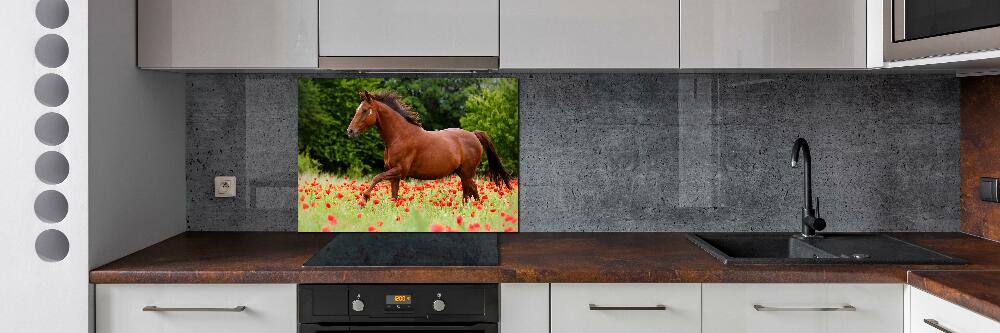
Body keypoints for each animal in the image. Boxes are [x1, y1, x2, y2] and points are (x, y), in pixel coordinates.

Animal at [348, 90, 512, 202]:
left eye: (364, 110)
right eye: (357, 110)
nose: (350, 131)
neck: (399, 136)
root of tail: (474, 135)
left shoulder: (399, 170)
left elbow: (377, 177)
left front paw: (364, 199)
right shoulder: (394, 174)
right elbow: (394, 196)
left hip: (467, 173)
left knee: (473, 192)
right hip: (463, 174)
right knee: (468, 193)